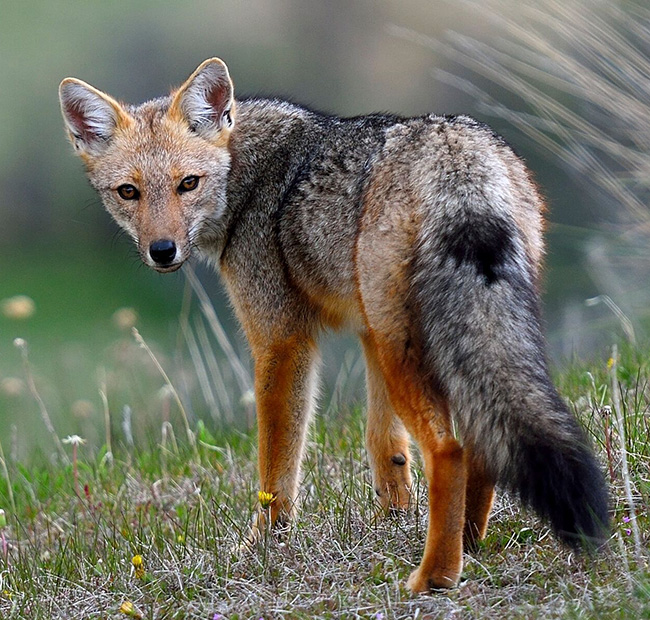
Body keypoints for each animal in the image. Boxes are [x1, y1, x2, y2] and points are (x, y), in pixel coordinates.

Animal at [60, 57, 608, 592]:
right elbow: (386, 449)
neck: (248, 180)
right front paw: (391, 522)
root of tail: (455, 152)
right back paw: (468, 543)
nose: (162, 251)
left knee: (449, 450)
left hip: (405, 348)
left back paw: (434, 575)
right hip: (420, 340)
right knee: (478, 443)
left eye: (187, 184)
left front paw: (262, 547)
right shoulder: (365, 332)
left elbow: (276, 471)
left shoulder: (282, 342)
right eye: (128, 192)